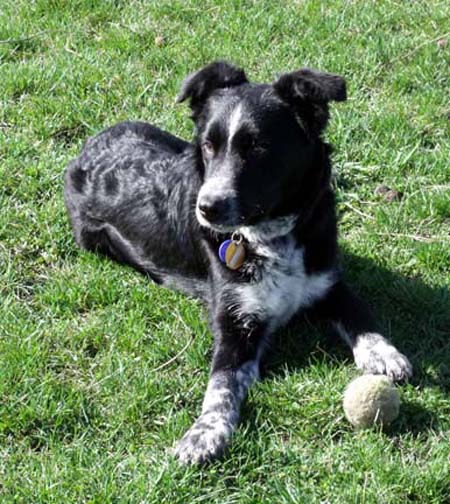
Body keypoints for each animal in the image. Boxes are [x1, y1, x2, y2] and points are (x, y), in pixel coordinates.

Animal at [65, 62, 414, 464]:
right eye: (209, 145)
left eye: (258, 147)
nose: (206, 208)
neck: (269, 235)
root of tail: (87, 149)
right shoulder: (234, 322)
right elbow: (221, 385)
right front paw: (204, 432)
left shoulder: (328, 281)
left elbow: (360, 315)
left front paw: (384, 353)